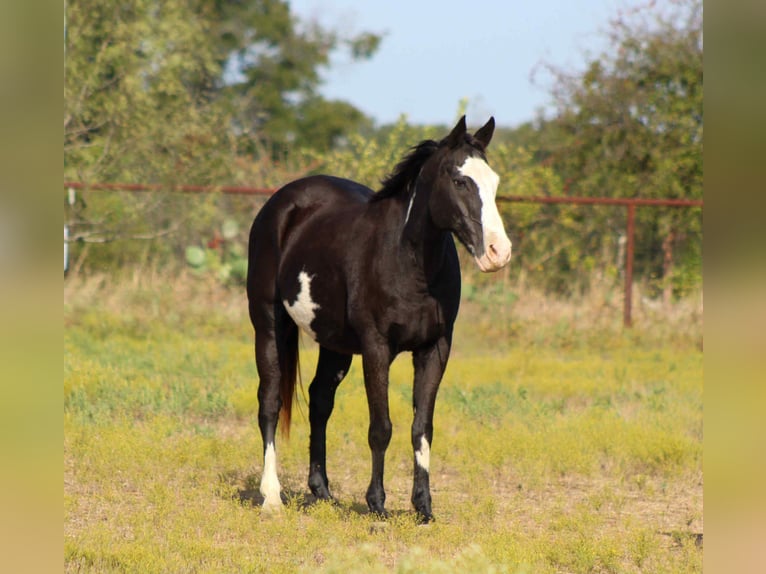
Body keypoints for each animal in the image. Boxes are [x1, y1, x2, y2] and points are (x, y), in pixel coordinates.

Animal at [246, 116, 512, 522]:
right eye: (459, 181)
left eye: (493, 181)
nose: (499, 252)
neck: (408, 262)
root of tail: (281, 204)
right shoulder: (376, 348)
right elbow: (381, 427)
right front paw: (377, 504)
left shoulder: (435, 349)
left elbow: (422, 428)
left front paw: (423, 508)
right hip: (269, 327)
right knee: (270, 403)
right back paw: (272, 497)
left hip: (334, 344)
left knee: (320, 400)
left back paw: (322, 491)